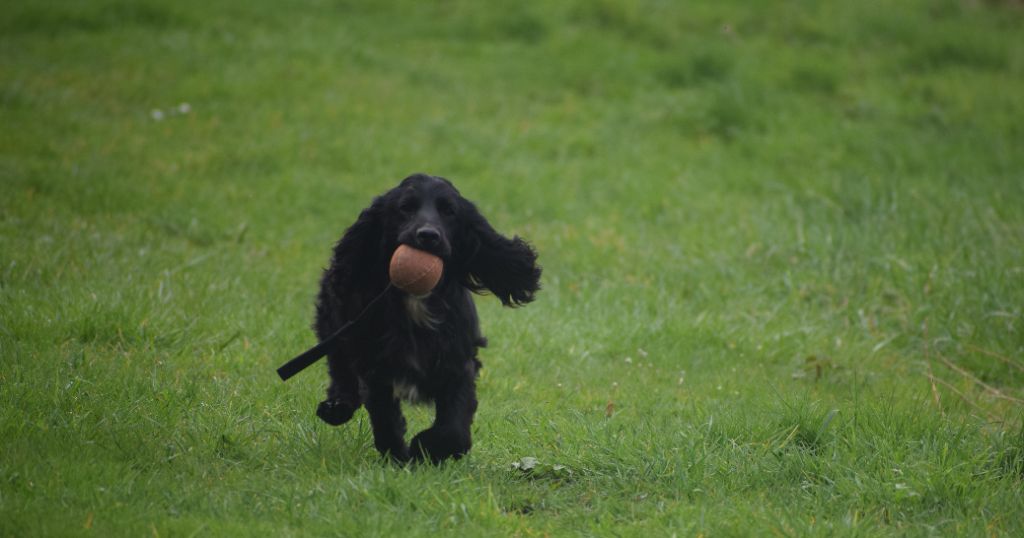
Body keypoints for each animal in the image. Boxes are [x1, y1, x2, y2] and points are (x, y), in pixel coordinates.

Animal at [313, 172, 544, 461]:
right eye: (405, 208)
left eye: (449, 211)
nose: (428, 236)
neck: (417, 301)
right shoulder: (375, 367)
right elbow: (385, 417)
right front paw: (398, 456)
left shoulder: (458, 364)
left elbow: (454, 428)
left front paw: (426, 447)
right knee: (340, 366)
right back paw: (337, 406)